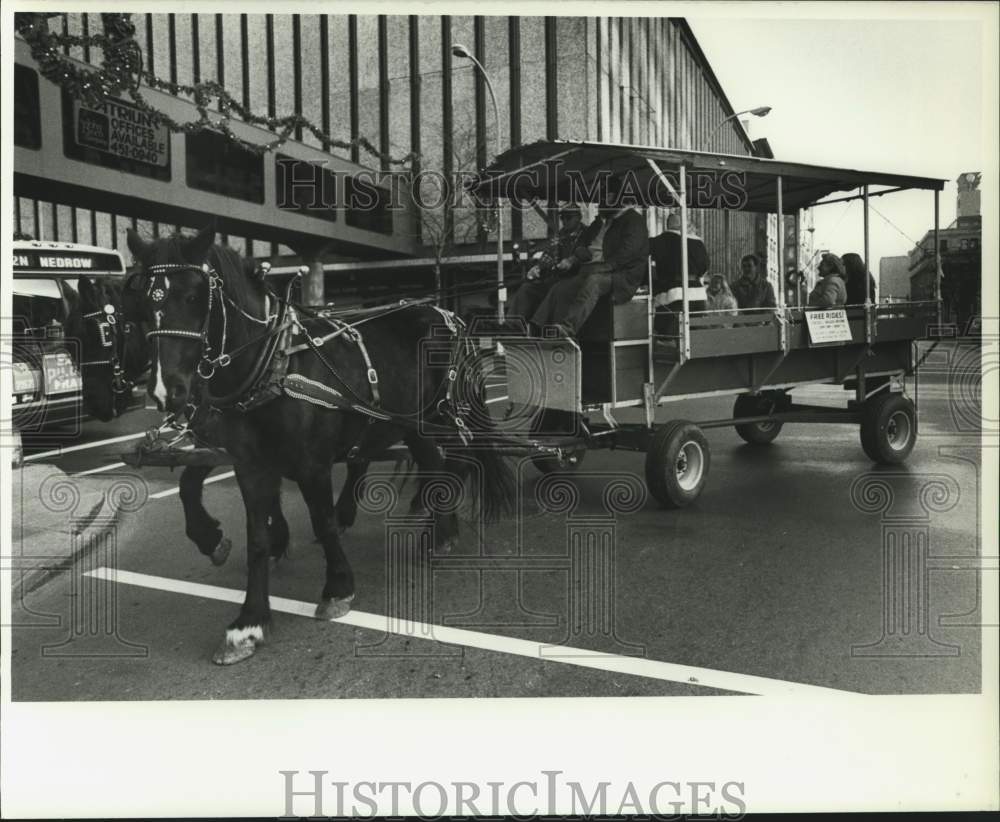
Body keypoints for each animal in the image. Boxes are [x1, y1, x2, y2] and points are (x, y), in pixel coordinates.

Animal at [126, 229, 516, 668]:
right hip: (409, 420)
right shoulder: (250, 464)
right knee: (433, 461)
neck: (273, 366)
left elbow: (322, 522)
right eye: (145, 304)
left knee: (452, 463)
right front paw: (249, 622)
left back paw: (441, 531)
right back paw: (439, 531)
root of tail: (445, 312)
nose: (166, 391)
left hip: (444, 413)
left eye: (195, 296)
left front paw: (338, 587)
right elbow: (254, 536)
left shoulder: (312, 463)